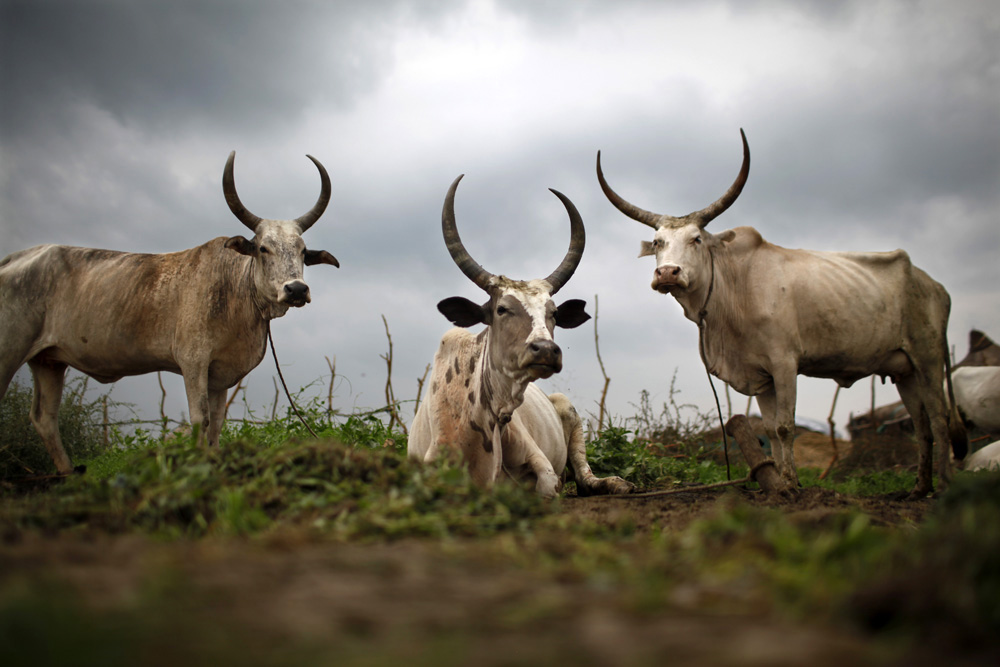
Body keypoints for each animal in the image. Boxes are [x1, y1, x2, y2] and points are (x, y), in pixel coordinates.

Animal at [0, 151, 340, 474]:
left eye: (302, 251)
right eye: (263, 248)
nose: (296, 290)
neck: (236, 292)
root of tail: (14, 258)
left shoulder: (218, 376)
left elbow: (217, 424)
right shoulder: (193, 361)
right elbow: (200, 419)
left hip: (48, 362)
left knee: (44, 417)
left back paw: (68, 473)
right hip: (10, 352)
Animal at [406, 175, 632, 498]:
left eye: (553, 312)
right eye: (501, 309)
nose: (546, 350)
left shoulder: (543, 466)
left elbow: (549, 485)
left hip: (567, 408)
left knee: (583, 477)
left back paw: (614, 483)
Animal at [596, 129, 964, 500]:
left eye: (697, 238)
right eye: (657, 242)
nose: (668, 273)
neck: (734, 291)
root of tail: (933, 284)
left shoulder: (785, 363)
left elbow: (786, 427)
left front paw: (789, 484)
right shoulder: (761, 375)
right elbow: (771, 430)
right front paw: (783, 482)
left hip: (929, 357)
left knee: (939, 419)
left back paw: (946, 486)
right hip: (905, 370)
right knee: (921, 425)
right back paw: (920, 487)